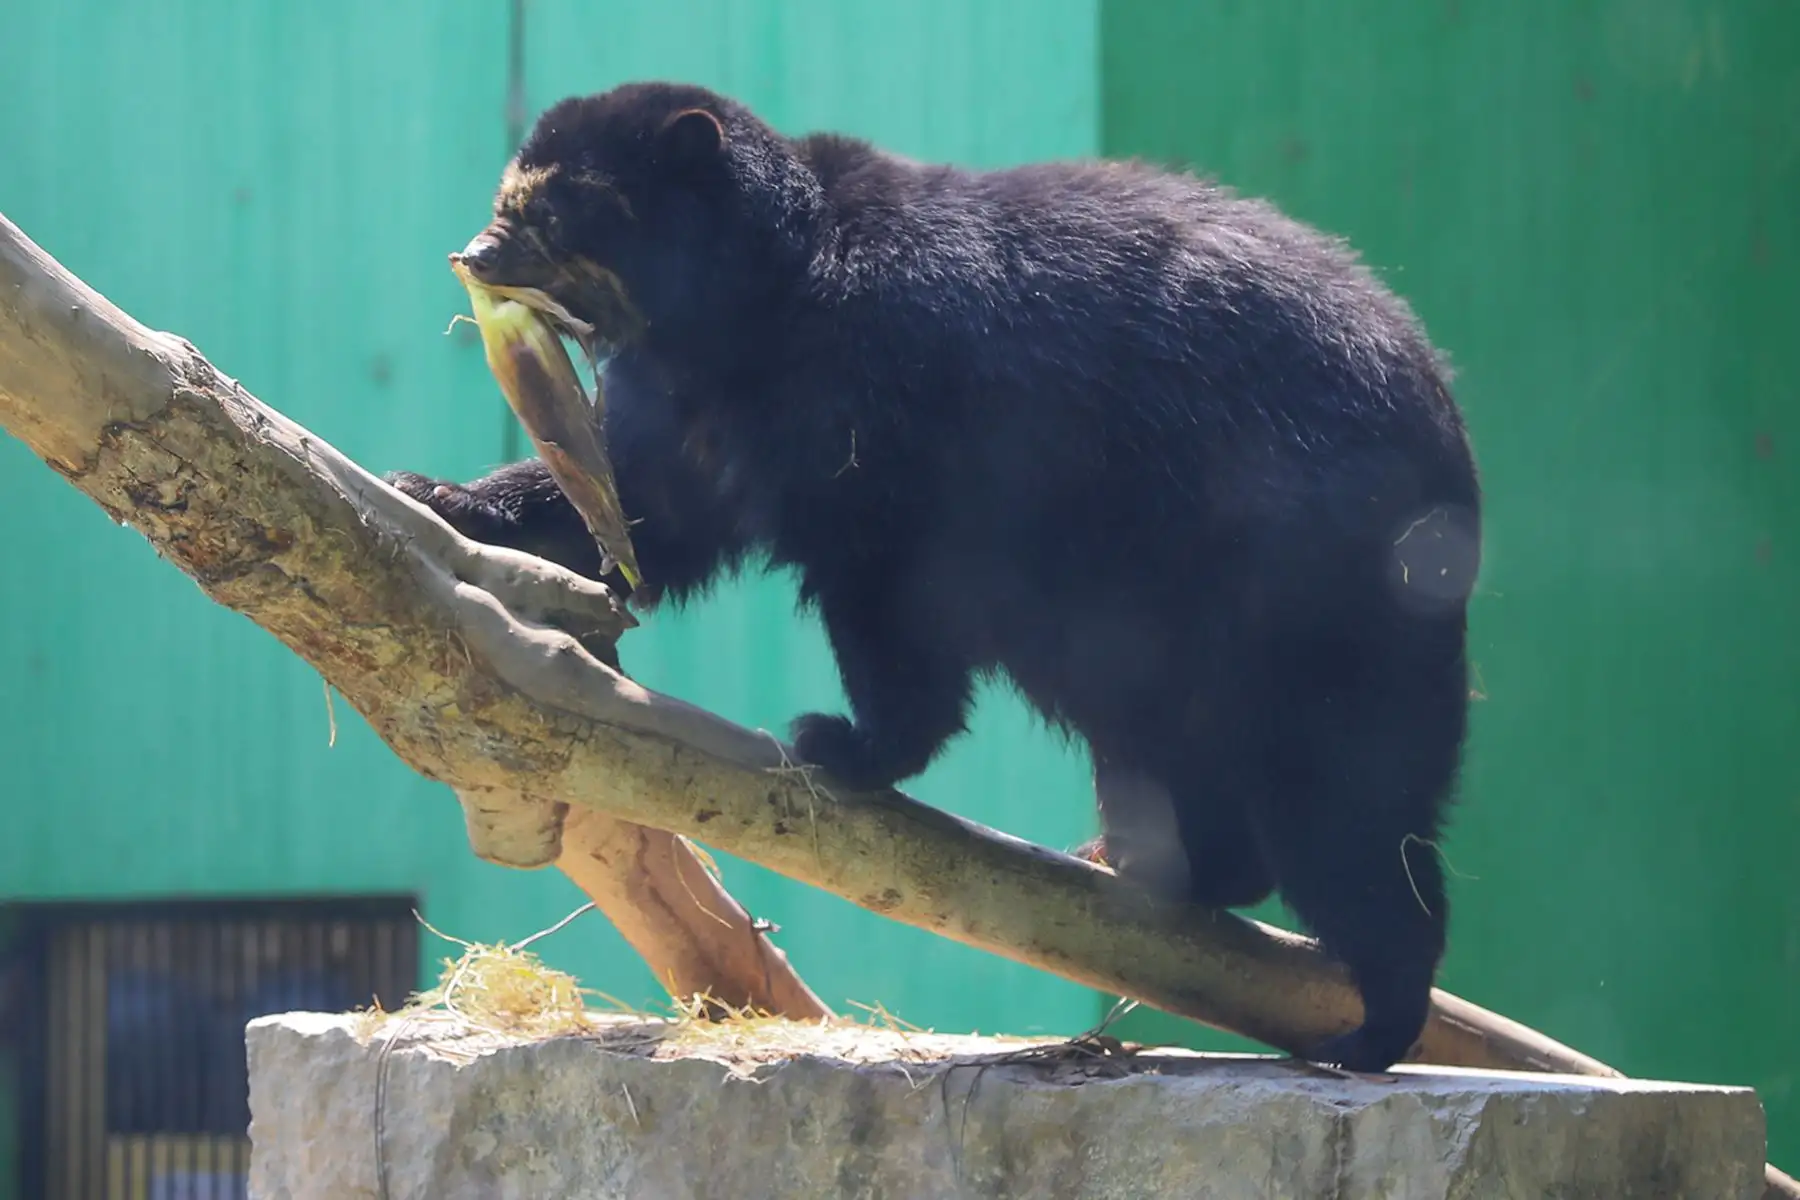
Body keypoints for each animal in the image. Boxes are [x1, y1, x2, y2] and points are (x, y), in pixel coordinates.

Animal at [389, 81, 1483, 1073]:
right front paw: (435, 495)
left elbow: (889, 596)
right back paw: (1162, 867)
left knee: (1343, 805)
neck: (757, 304)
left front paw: (850, 744)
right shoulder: (695, 403)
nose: (474, 256)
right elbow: (639, 502)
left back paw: (1371, 1024)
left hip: (1304, 598)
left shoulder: (894, 410)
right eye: (511, 195)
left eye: (550, 210)